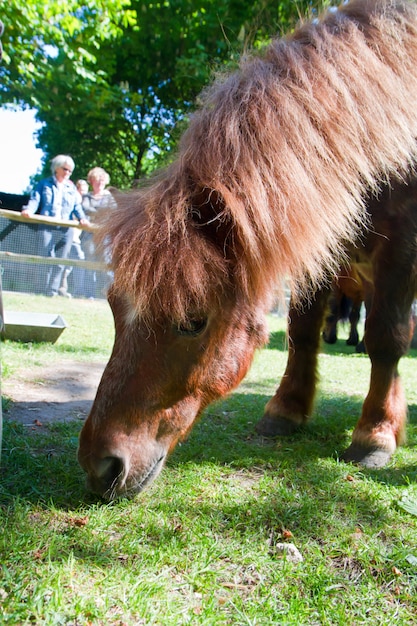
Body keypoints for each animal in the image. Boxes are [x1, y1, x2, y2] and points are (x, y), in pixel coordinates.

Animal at [76, 0, 416, 498]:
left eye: (192, 321)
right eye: (114, 307)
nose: (99, 466)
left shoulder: (400, 257)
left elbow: (386, 338)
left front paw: (375, 434)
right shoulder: (319, 250)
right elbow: (302, 331)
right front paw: (286, 409)